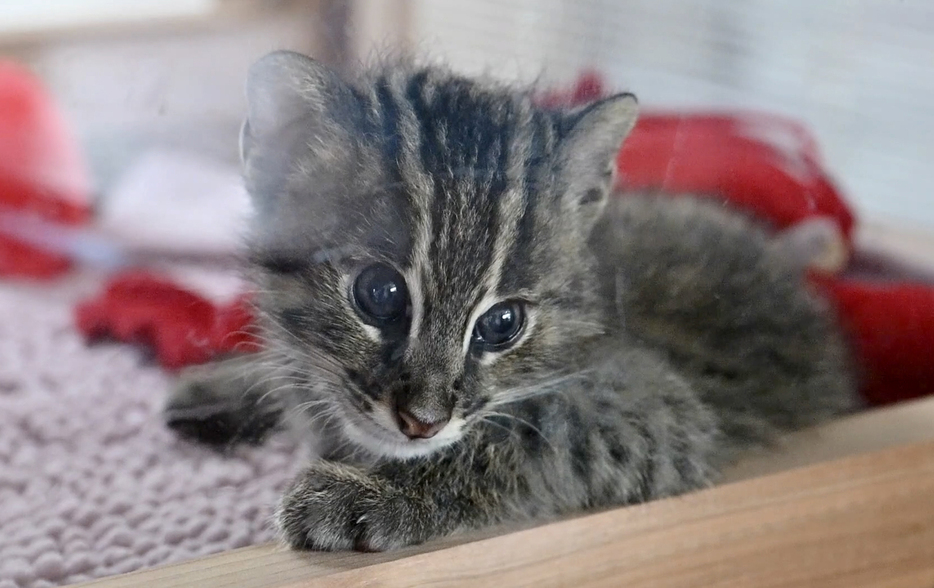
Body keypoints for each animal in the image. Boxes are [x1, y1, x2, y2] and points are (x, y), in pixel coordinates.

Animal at [165, 50, 860, 552]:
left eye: (502, 323)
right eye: (378, 294)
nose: (423, 421)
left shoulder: (661, 410)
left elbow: (526, 436)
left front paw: (375, 495)